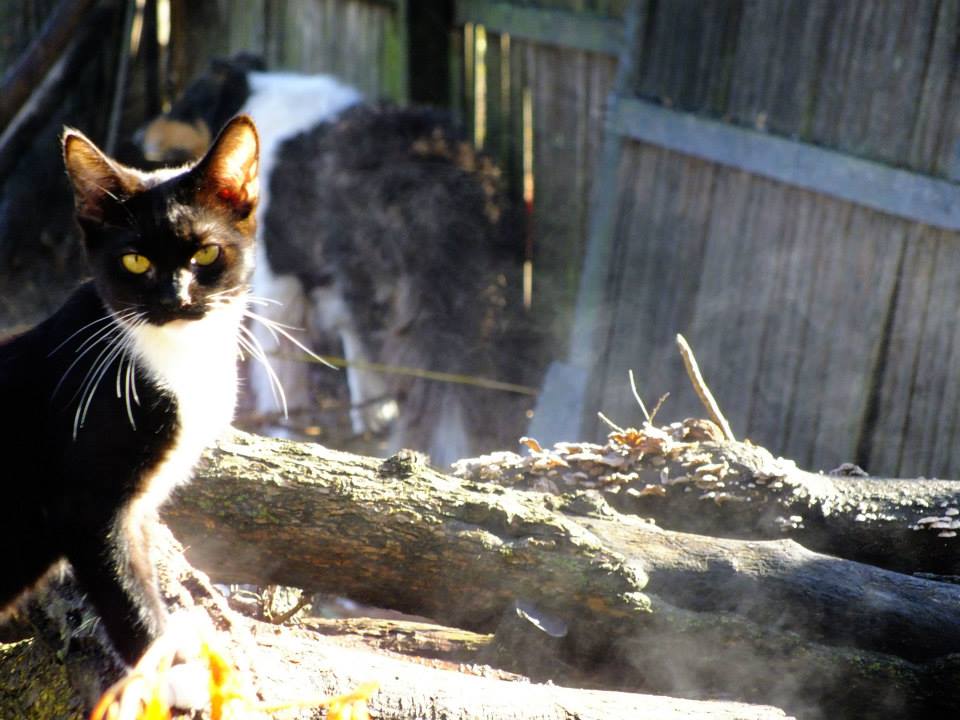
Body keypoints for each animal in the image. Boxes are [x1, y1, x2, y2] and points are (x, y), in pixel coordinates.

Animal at [0, 116, 258, 664]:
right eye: (135, 261)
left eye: (206, 252)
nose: (174, 298)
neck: (179, 360)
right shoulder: (88, 503)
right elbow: (126, 592)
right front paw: (166, 667)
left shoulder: (138, 509)